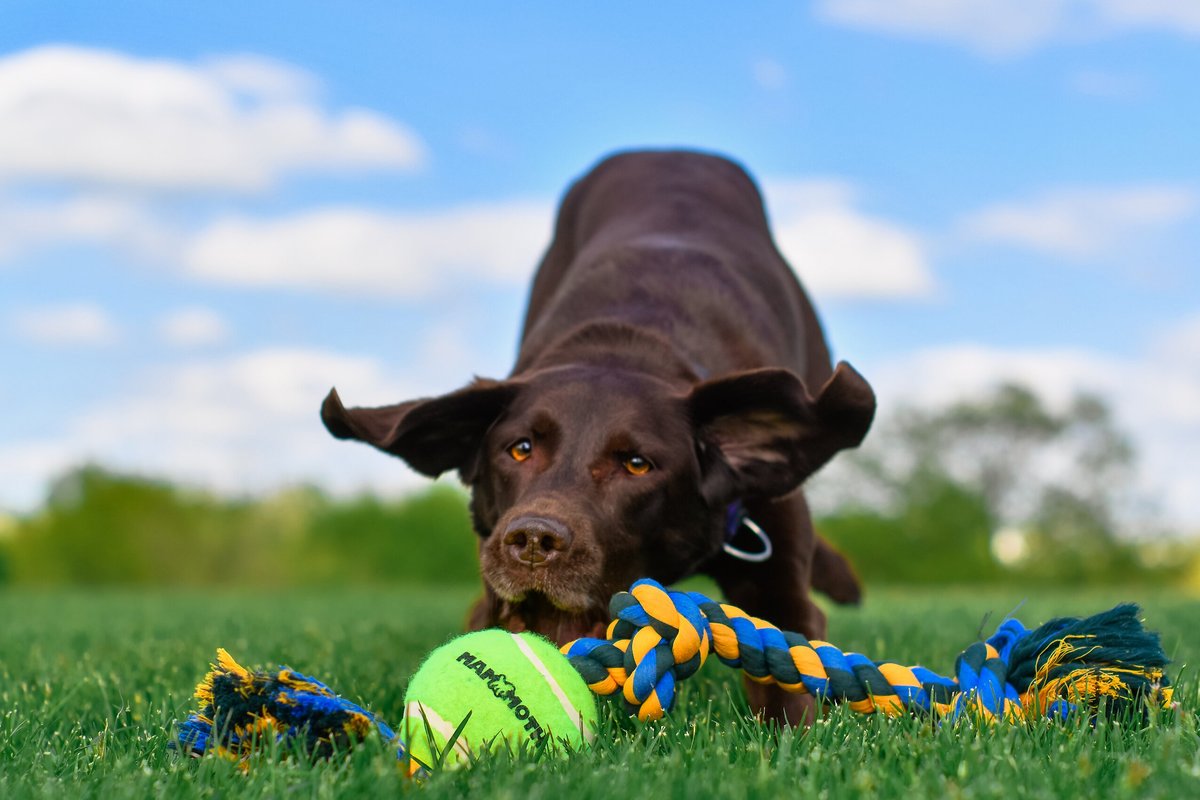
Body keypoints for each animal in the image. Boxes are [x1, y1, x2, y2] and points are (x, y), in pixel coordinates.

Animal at [324, 149, 878, 724]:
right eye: (519, 449)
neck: (625, 343)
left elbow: (788, 685)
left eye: (636, 463)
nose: (533, 541)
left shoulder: (778, 578)